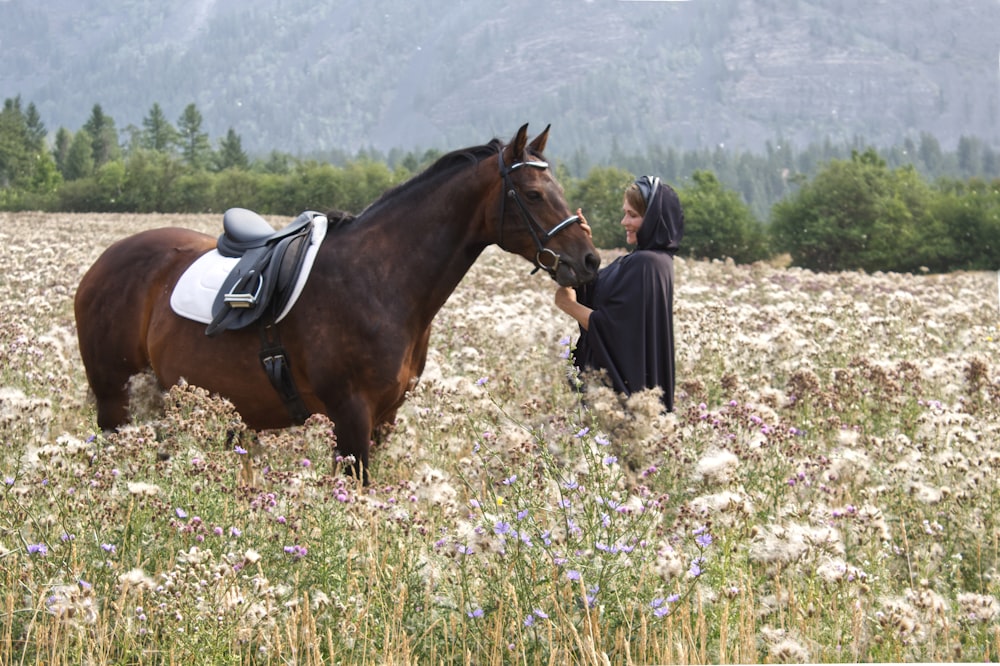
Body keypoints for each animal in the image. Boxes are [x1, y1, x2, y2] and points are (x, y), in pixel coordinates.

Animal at [76, 123, 600, 478]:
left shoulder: (385, 417)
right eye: (532, 193)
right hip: (116, 404)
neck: (380, 281)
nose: (590, 260)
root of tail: (101, 266)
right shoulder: (351, 415)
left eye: (557, 188)